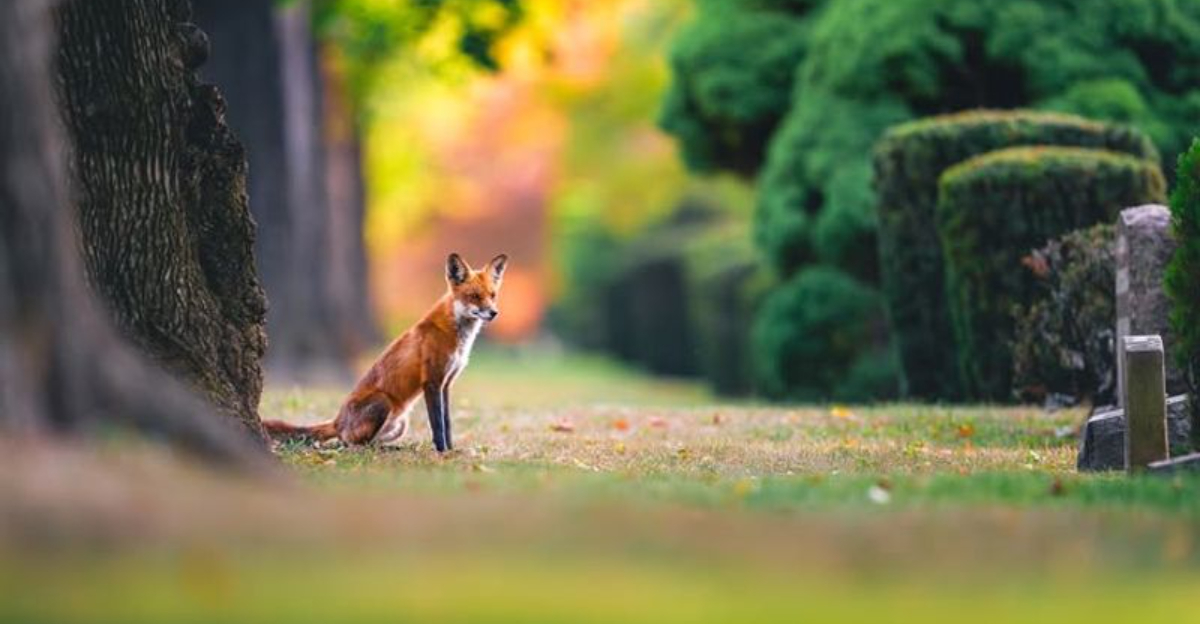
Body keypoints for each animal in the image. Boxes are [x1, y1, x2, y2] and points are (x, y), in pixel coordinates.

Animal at [262, 253, 507, 452]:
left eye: (492, 295)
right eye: (474, 296)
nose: (494, 313)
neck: (458, 336)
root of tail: (337, 420)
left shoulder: (446, 384)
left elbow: (447, 423)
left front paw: (451, 450)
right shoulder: (432, 381)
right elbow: (437, 424)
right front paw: (441, 452)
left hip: (401, 424)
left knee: (369, 441)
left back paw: (391, 448)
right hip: (382, 402)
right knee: (349, 442)